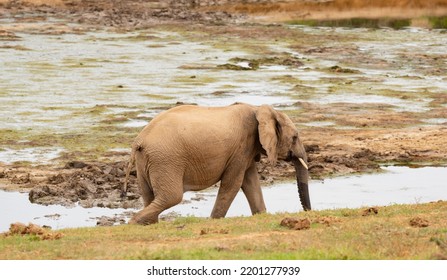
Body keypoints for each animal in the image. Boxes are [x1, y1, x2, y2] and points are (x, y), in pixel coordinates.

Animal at [122, 103, 312, 225]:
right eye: (295, 137)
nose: (308, 212)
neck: (258, 109)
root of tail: (139, 140)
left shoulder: (247, 150)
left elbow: (250, 182)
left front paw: (261, 215)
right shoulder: (241, 147)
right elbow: (233, 183)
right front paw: (214, 220)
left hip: (147, 161)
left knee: (149, 195)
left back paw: (148, 224)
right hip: (166, 160)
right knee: (172, 197)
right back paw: (133, 222)